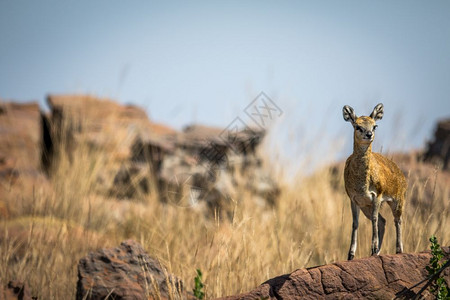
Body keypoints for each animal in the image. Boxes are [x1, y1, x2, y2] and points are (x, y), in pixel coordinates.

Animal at [342, 103, 406, 260]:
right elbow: (355, 223)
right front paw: (351, 254)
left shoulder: (377, 196)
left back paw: (398, 249)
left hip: (397, 201)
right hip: (367, 206)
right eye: (357, 126)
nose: (369, 134)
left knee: (397, 220)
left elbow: (375, 220)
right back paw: (376, 252)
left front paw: (373, 247)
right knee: (384, 221)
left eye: (374, 125)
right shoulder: (354, 199)